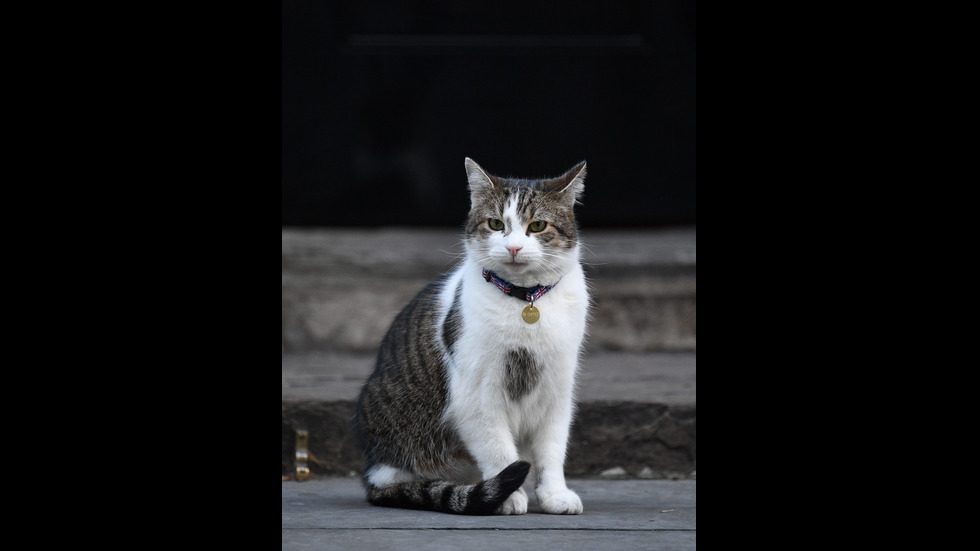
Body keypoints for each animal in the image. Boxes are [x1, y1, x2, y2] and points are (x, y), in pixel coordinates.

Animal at [358, 157, 588, 516]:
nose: (513, 247)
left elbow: (551, 450)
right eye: (495, 224)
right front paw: (508, 496)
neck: (526, 302)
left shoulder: (557, 390)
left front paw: (554, 495)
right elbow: (499, 451)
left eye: (537, 226)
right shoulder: (477, 396)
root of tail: (371, 473)